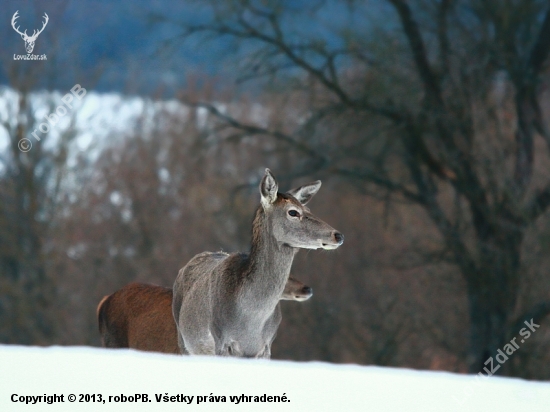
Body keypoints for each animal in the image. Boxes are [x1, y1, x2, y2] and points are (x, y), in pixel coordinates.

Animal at [174, 169, 344, 358]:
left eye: (308, 208)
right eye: (293, 212)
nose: (337, 235)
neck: (252, 320)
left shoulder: (266, 346)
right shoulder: (222, 340)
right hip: (183, 340)